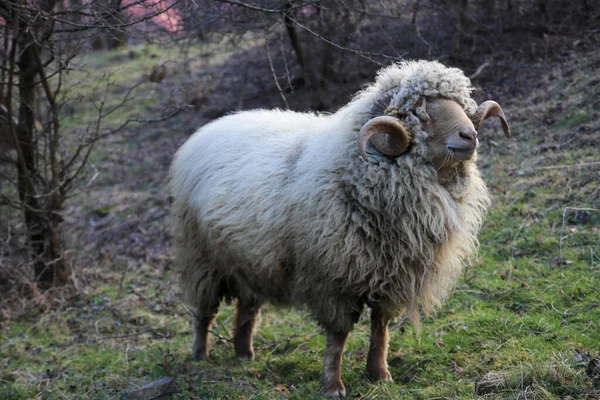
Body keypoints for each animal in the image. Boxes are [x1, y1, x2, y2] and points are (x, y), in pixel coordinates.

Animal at [170, 60, 510, 396]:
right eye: (418, 113)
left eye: (461, 104)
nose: (469, 135)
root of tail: (209, 128)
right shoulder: (333, 278)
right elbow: (338, 336)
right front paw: (333, 385)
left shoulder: (392, 278)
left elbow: (380, 328)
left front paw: (380, 374)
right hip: (203, 258)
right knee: (205, 310)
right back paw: (201, 354)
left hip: (250, 261)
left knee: (247, 308)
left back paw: (244, 354)